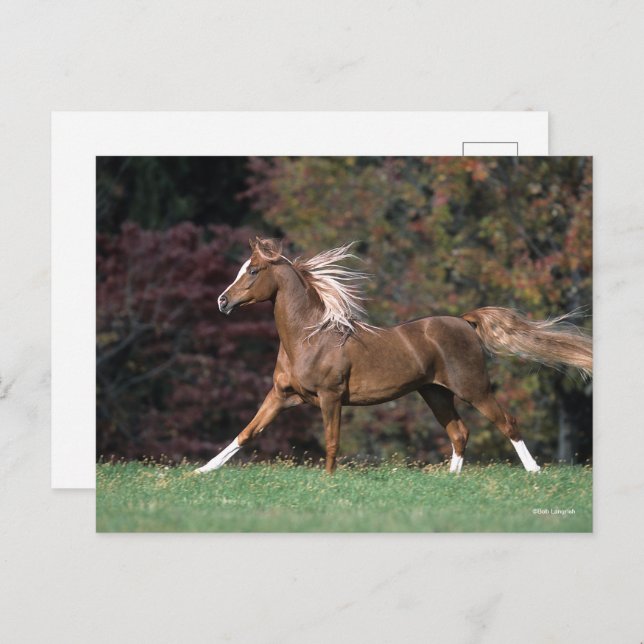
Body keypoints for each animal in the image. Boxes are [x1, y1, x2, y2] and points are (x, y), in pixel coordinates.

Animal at [196, 237, 592, 475]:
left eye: (253, 270)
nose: (222, 301)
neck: (309, 337)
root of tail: (464, 321)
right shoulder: (281, 396)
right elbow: (247, 433)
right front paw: (201, 471)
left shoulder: (330, 397)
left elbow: (331, 440)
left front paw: (327, 481)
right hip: (435, 392)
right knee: (459, 432)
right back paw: (451, 480)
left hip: (473, 388)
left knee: (507, 422)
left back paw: (534, 472)